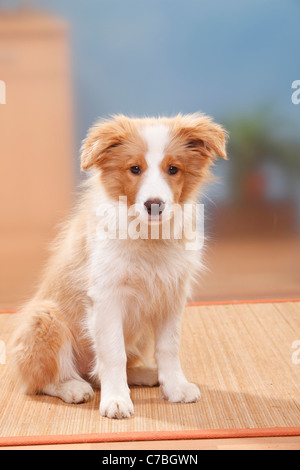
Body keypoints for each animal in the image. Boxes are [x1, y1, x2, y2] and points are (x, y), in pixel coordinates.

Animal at [11, 113, 227, 418]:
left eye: (173, 169)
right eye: (134, 169)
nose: (154, 205)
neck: (148, 237)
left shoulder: (172, 295)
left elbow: (169, 347)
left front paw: (175, 387)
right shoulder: (106, 298)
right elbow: (113, 353)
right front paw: (116, 400)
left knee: (102, 372)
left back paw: (146, 375)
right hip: (43, 317)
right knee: (40, 382)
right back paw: (72, 387)